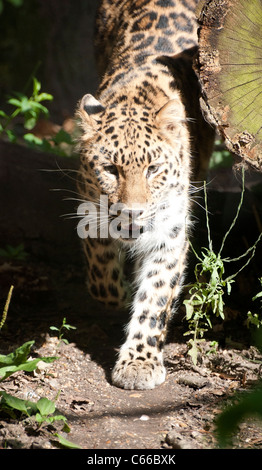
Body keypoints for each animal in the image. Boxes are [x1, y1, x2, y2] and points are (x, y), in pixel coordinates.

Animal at [74, 0, 214, 390]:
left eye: (153, 169)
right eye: (110, 169)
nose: (132, 213)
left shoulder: (170, 230)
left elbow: (155, 297)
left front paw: (139, 363)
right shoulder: (90, 207)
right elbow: (102, 279)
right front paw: (120, 292)